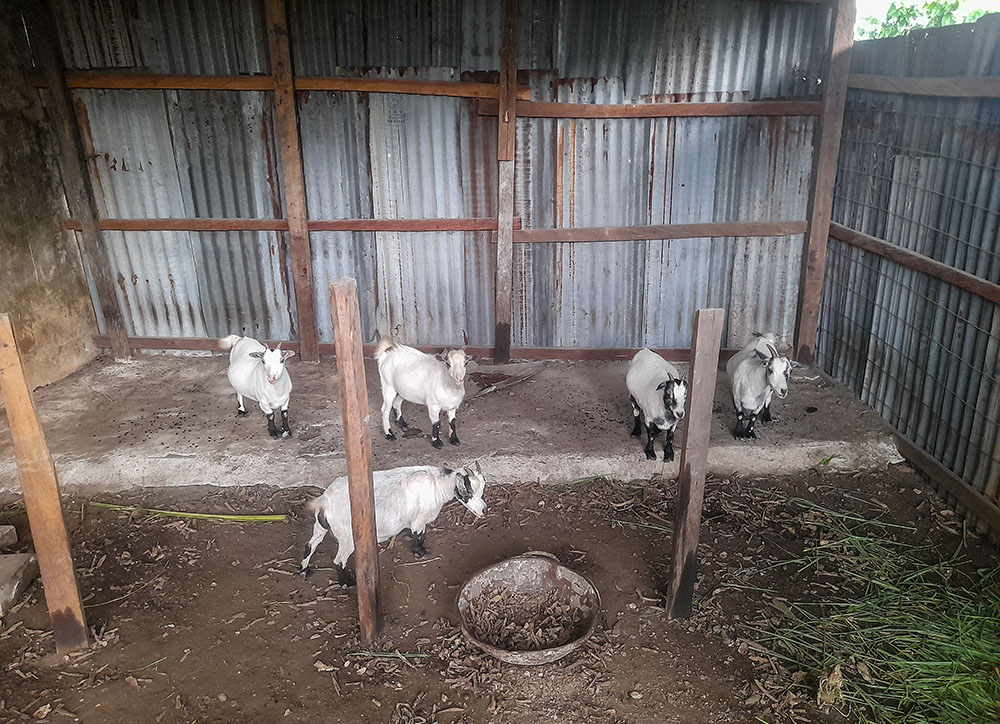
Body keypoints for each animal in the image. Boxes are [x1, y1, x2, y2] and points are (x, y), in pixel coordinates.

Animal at [299, 463, 487, 584]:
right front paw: (420, 552)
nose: (484, 510)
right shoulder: (418, 520)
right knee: (338, 561)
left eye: (482, 490)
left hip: (320, 527)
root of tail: (325, 501)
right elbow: (419, 536)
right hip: (347, 538)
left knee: (310, 545)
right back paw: (347, 582)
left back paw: (304, 570)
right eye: (468, 492)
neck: (438, 484)